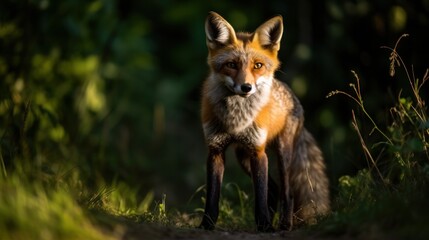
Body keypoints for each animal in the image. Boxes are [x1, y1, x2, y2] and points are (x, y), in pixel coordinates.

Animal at [199, 12, 330, 232]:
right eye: (231, 65)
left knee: (287, 193)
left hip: (282, 154)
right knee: (274, 190)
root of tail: (292, 94)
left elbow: (260, 196)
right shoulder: (216, 149)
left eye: (258, 65)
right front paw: (206, 225)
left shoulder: (258, 151)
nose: (246, 87)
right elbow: (212, 197)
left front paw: (266, 226)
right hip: (243, 157)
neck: (236, 118)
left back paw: (284, 224)